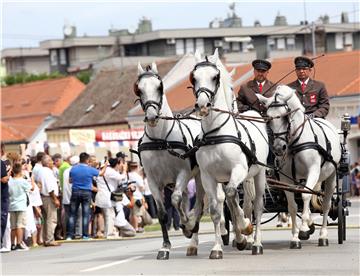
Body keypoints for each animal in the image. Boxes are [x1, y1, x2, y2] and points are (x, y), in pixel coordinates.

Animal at [134, 62, 205, 258]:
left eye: (160, 87)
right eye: (138, 89)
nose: (151, 117)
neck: (161, 141)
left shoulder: (183, 173)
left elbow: (174, 200)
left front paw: (187, 225)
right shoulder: (152, 181)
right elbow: (162, 213)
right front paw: (165, 246)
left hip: (200, 177)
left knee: (200, 205)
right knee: (189, 200)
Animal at [193, 48, 268, 258]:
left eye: (215, 77)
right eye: (194, 77)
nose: (203, 105)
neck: (216, 134)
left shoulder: (239, 170)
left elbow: (233, 194)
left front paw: (245, 227)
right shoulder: (208, 177)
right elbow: (216, 209)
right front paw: (217, 248)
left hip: (258, 175)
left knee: (256, 206)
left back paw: (256, 243)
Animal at [258, 85, 342, 248]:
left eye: (285, 116)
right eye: (268, 119)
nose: (279, 148)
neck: (295, 142)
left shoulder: (313, 171)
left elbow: (305, 195)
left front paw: (303, 229)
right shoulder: (286, 179)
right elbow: (292, 205)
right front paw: (295, 237)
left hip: (330, 176)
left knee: (326, 204)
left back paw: (323, 235)